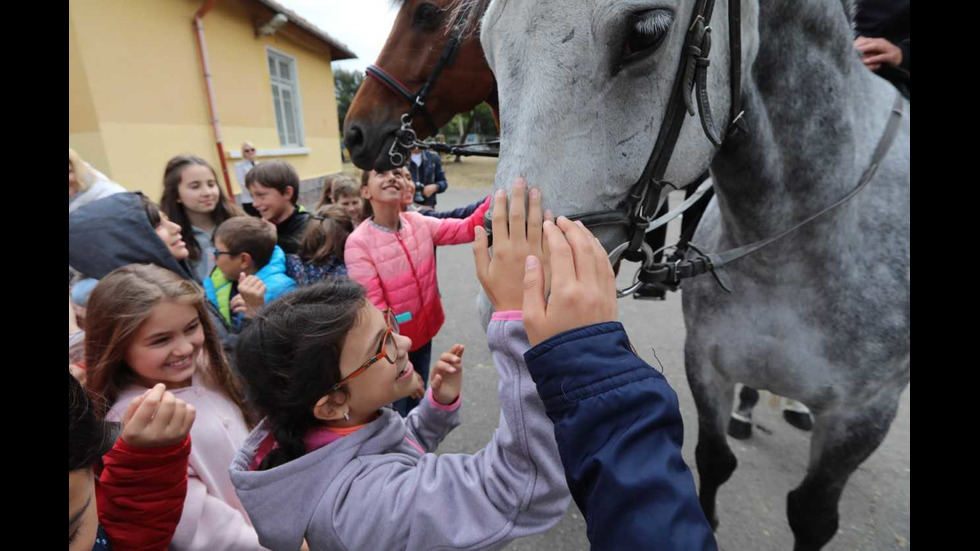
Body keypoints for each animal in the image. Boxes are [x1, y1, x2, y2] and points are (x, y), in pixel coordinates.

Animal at [478, 0, 908, 548]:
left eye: (646, 34)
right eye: (488, 46)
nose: (509, 291)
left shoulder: (864, 414)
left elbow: (812, 513)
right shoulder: (707, 365)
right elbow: (715, 459)